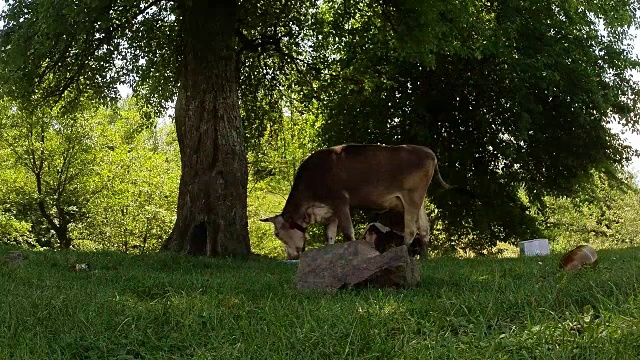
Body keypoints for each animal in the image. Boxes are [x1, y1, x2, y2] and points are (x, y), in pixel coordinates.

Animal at [260, 143, 460, 258]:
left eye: (277, 234)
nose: (290, 257)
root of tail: (427, 151)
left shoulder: (340, 201)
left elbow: (348, 233)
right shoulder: (330, 211)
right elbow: (330, 235)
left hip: (411, 197)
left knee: (411, 230)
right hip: (420, 200)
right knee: (424, 229)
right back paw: (424, 258)